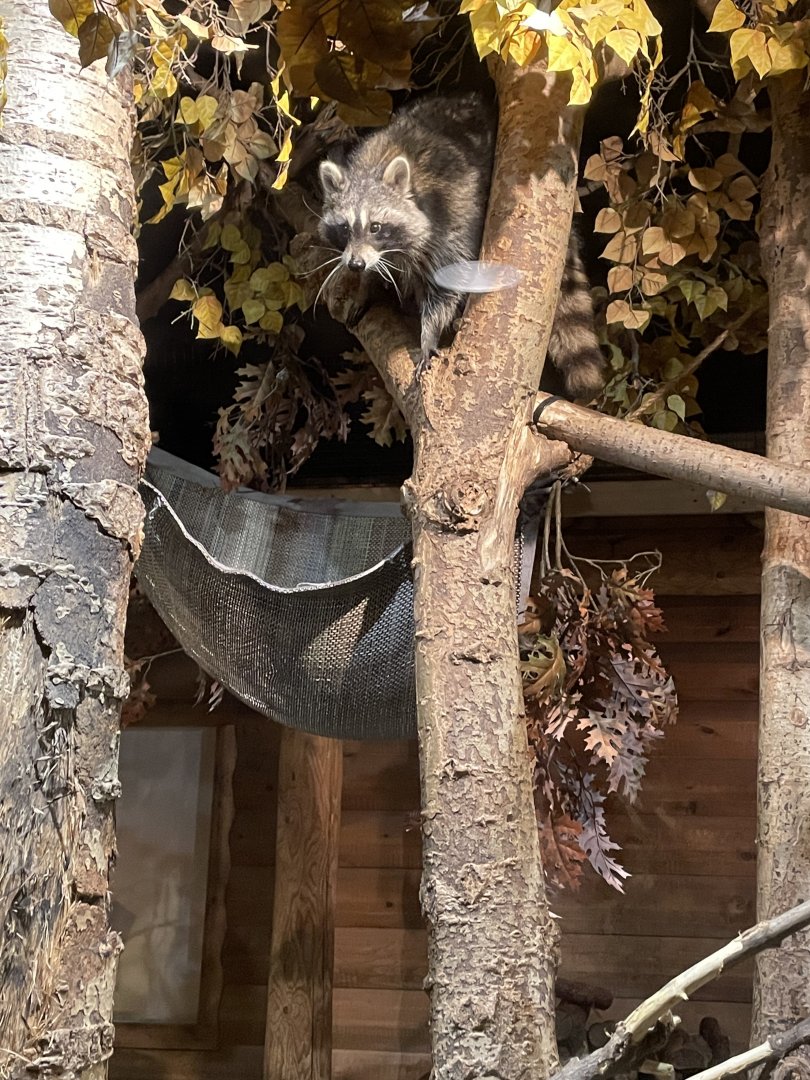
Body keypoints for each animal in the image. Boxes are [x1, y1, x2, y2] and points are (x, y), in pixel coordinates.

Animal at [317, 93, 605, 398]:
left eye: (375, 227)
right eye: (345, 228)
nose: (355, 264)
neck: (374, 167)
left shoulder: (451, 218)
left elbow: (446, 284)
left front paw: (428, 333)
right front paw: (366, 284)